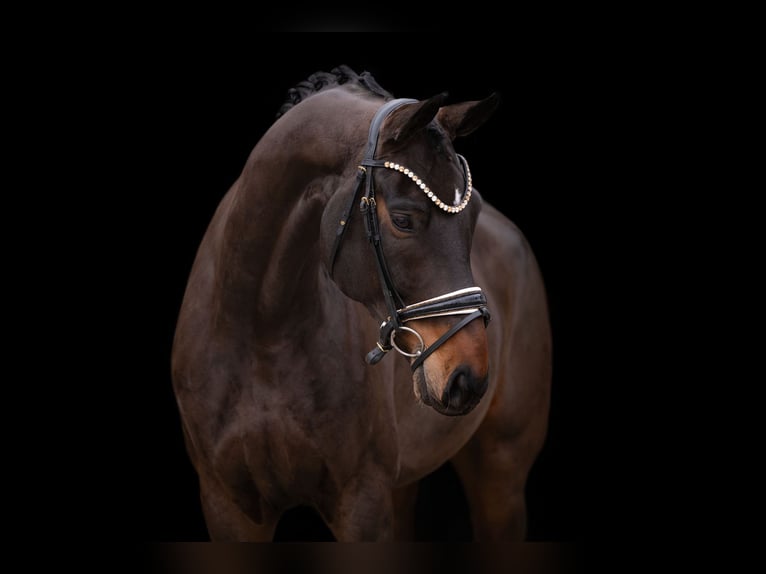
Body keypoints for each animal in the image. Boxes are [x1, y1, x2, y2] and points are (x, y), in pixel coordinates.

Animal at [171, 65, 551, 541]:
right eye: (404, 219)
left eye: (475, 211)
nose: (469, 377)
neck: (261, 332)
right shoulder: (228, 504)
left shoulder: (362, 502)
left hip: (501, 472)